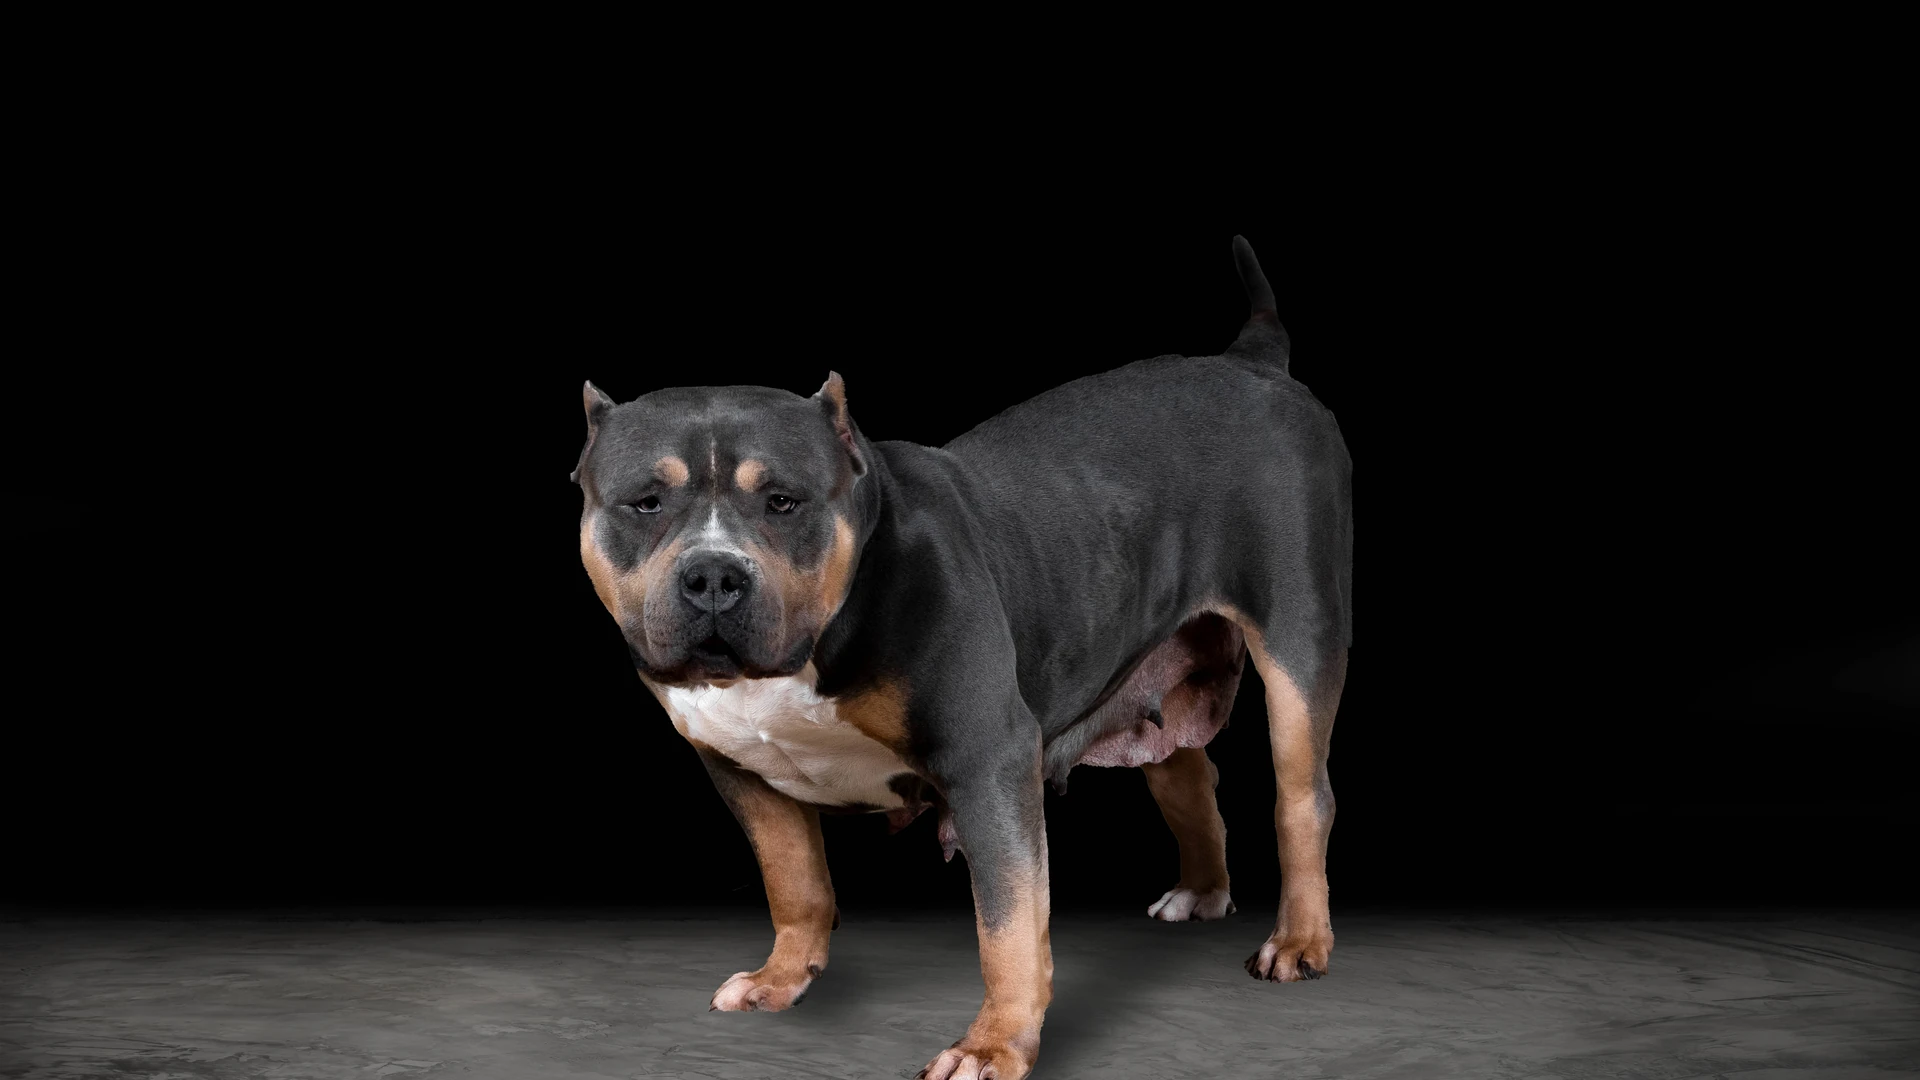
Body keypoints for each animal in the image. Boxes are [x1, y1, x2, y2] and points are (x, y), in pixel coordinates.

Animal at [572, 236, 1352, 1080]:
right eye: (645, 503)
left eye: (784, 501)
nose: (714, 574)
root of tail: (1254, 362)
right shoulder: (740, 770)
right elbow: (794, 877)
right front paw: (784, 976)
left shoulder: (987, 762)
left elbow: (1007, 924)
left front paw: (993, 1045)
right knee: (1187, 774)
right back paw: (1202, 894)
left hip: (1299, 648)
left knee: (1301, 795)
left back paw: (1299, 941)